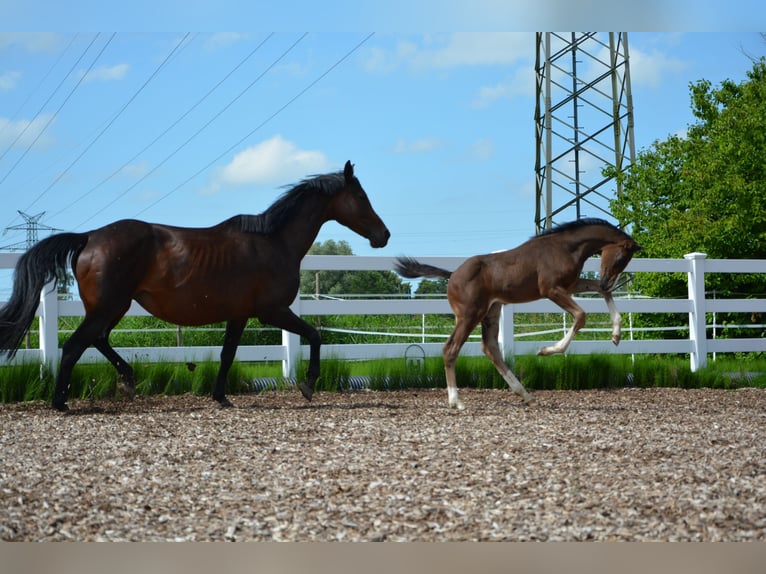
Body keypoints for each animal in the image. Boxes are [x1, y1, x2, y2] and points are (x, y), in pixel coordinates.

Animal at [0, 161, 390, 412]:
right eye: (361, 198)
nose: (383, 235)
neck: (274, 242)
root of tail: (89, 237)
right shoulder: (272, 311)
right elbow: (315, 334)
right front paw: (308, 385)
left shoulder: (240, 315)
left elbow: (227, 354)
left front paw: (221, 397)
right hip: (108, 307)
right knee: (73, 347)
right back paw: (61, 402)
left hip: (115, 307)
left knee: (97, 340)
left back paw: (128, 379)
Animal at [395, 218, 641, 410]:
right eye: (621, 258)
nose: (607, 279)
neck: (566, 248)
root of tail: (452, 274)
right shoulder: (551, 289)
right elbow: (581, 316)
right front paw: (546, 351)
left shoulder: (570, 285)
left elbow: (602, 292)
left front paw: (616, 335)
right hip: (469, 315)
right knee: (451, 349)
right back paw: (456, 401)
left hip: (491, 312)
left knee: (490, 348)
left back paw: (525, 394)